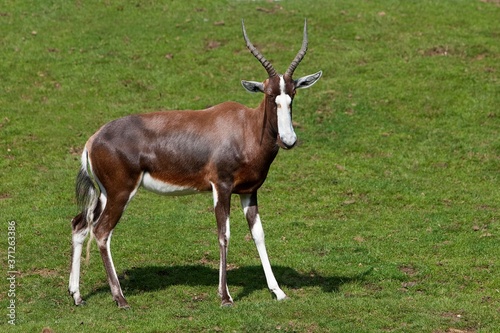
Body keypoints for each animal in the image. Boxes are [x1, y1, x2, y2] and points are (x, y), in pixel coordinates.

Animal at [68, 20, 320, 306]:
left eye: (292, 94)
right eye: (268, 94)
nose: (288, 140)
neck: (245, 127)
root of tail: (93, 139)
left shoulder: (249, 191)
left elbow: (258, 234)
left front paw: (278, 292)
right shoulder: (221, 187)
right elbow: (224, 234)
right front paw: (225, 297)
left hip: (104, 194)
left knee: (80, 225)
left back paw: (77, 295)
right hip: (120, 193)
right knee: (101, 232)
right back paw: (120, 298)